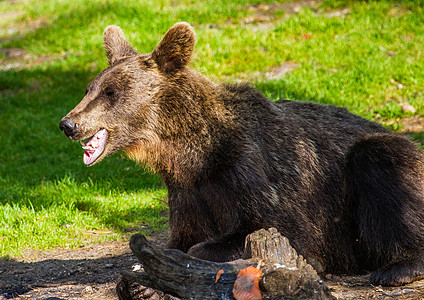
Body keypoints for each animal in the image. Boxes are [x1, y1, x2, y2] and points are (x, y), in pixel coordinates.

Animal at [59, 22, 424, 284]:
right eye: (90, 88)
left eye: (111, 92)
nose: (68, 123)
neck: (192, 152)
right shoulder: (186, 191)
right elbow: (178, 238)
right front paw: (141, 268)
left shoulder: (254, 172)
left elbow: (281, 232)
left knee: (382, 159)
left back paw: (399, 267)